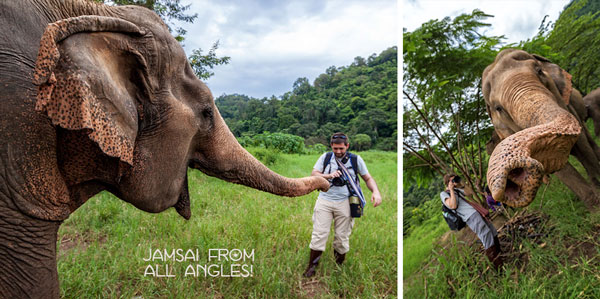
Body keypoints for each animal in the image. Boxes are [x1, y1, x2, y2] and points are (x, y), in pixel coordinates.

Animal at [482, 48, 600, 211]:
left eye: (539, 71)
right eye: (498, 108)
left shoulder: (567, 106)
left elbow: (584, 148)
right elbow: (560, 168)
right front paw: (595, 209)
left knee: (589, 141)